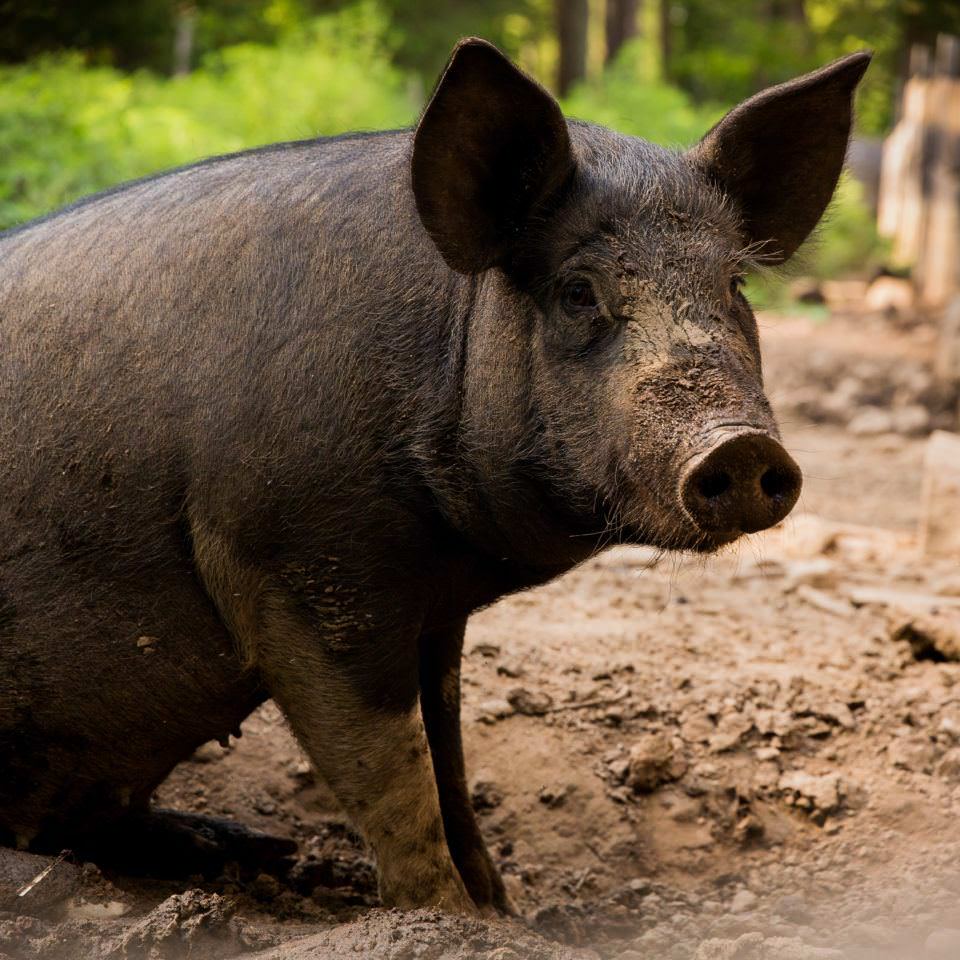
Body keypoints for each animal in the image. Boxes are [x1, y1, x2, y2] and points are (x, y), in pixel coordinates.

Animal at [0, 39, 868, 913]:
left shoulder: (432, 609)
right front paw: (450, 918)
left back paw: (248, 845)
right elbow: (393, 776)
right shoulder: (292, 562)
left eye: (734, 285)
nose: (741, 448)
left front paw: (507, 909)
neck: (450, 552)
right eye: (576, 292)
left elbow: (449, 750)